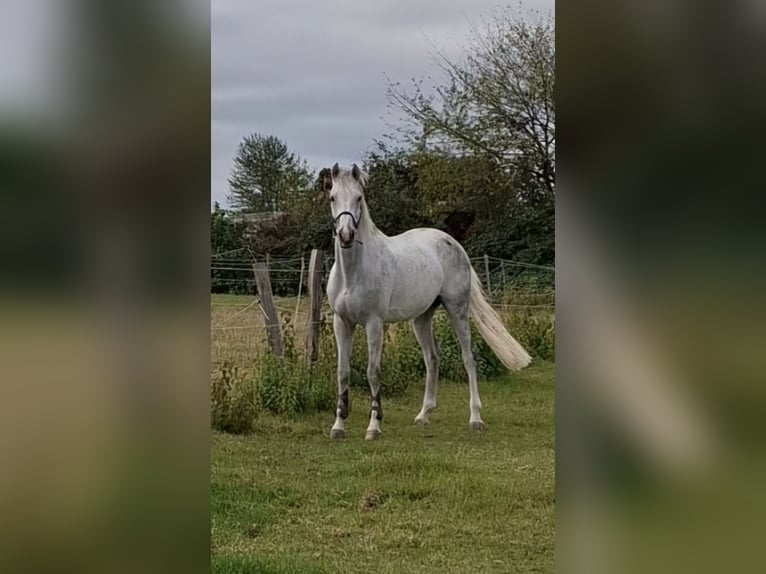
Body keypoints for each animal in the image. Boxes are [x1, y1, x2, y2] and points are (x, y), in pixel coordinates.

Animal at [326, 163, 531, 440]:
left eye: (359, 198)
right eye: (333, 197)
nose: (346, 236)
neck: (352, 273)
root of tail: (455, 245)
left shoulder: (373, 323)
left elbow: (373, 372)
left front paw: (374, 427)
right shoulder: (342, 322)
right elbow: (342, 372)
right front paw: (338, 426)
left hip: (457, 311)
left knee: (469, 358)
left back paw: (475, 419)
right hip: (421, 319)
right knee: (432, 358)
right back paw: (424, 414)